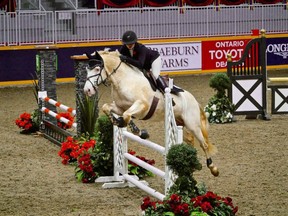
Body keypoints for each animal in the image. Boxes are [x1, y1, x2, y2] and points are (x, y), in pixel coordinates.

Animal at [84, 49, 219, 176]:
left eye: (97, 69)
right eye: (87, 70)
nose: (87, 90)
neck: (124, 80)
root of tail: (194, 100)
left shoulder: (142, 106)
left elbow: (127, 115)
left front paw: (135, 130)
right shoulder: (119, 107)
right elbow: (108, 108)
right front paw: (121, 123)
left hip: (192, 125)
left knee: (204, 144)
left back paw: (213, 168)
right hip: (178, 123)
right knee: (190, 140)